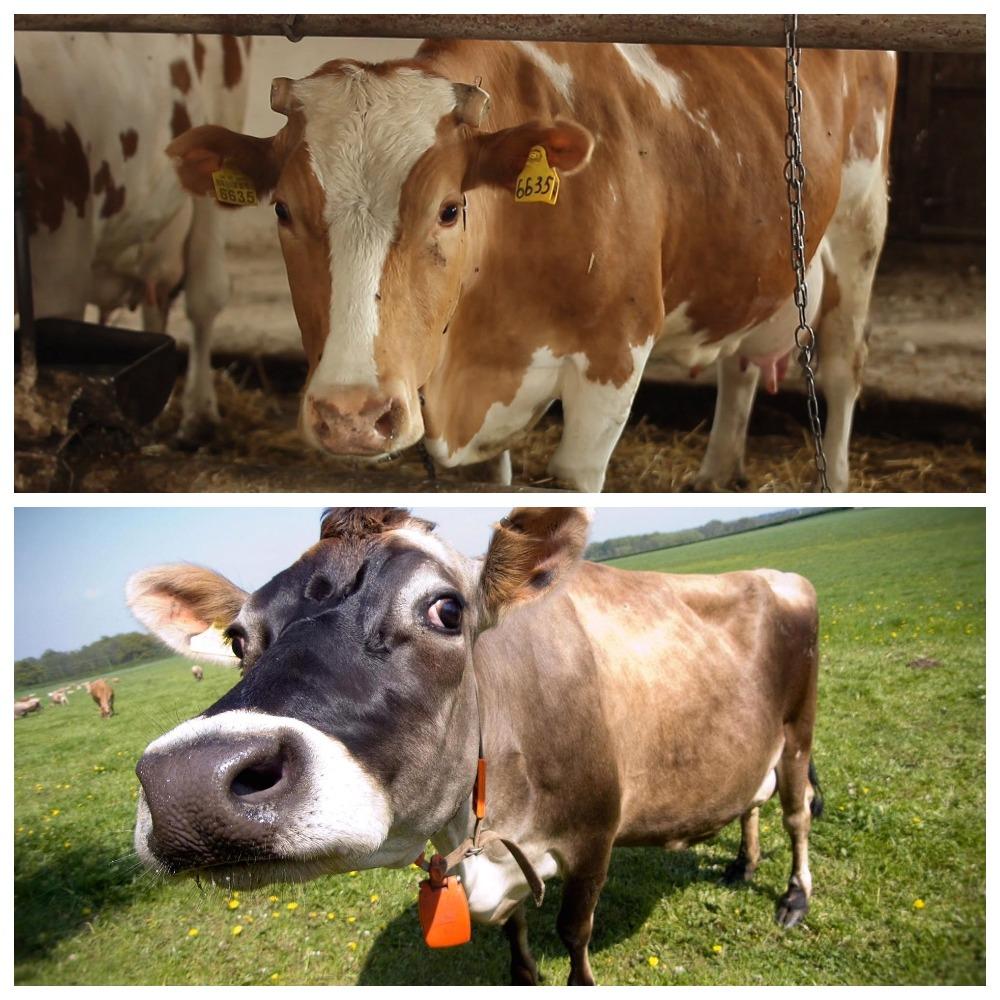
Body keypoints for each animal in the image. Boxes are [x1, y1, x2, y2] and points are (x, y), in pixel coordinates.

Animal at [127, 506, 821, 985]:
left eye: (447, 610)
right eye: (238, 639)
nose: (187, 783)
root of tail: (775, 573)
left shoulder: (595, 834)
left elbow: (574, 934)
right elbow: (515, 936)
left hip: (798, 731)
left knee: (794, 813)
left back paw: (793, 897)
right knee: (752, 798)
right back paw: (743, 864)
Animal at [167, 42, 895, 491]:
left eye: (449, 209)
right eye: (283, 209)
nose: (351, 413)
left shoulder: (615, 355)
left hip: (862, 216)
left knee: (844, 362)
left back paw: (837, 475)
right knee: (738, 361)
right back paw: (716, 470)